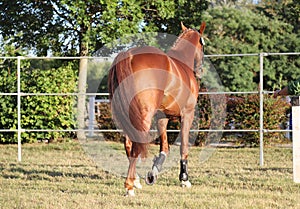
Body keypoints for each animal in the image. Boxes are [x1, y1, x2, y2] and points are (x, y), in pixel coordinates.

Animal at [108, 21, 206, 196]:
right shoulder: (188, 114)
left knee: (128, 144)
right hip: (143, 117)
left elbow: (164, 147)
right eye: (203, 44)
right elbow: (183, 146)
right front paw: (184, 178)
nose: (201, 71)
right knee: (135, 146)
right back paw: (129, 186)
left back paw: (135, 180)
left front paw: (154, 170)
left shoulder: (162, 117)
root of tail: (129, 54)